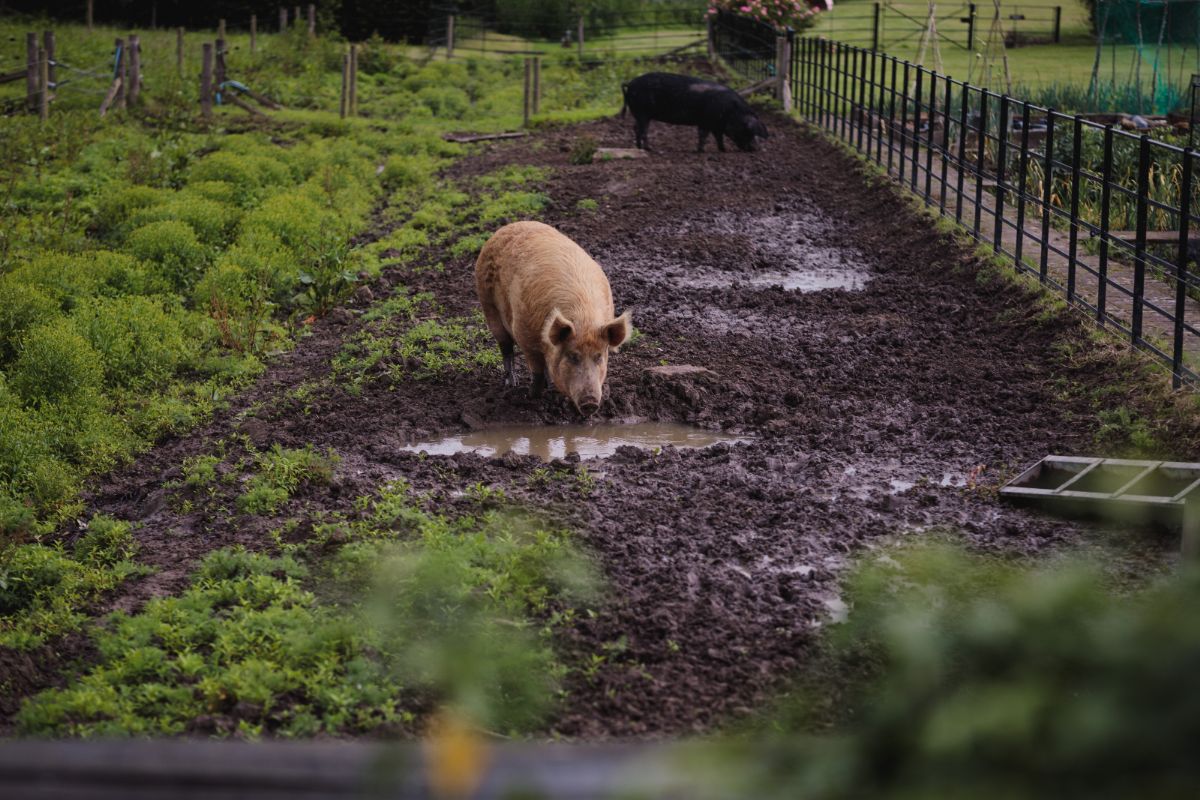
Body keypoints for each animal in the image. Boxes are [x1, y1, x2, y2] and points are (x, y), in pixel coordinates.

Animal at [619, 72, 768, 154]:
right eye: (748, 130)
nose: (757, 149)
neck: (731, 112)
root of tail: (631, 83)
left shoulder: (716, 125)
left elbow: (717, 137)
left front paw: (723, 150)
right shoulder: (707, 121)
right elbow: (703, 135)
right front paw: (701, 151)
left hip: (639, 114)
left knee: (636, 128)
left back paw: (639, 148)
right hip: (642, 113)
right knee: (642, 130)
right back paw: (648, 149)